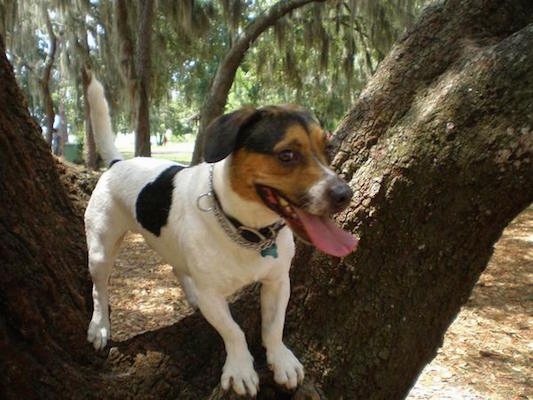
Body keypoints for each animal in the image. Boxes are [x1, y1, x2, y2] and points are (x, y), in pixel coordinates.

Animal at [84, 76, 358, 396]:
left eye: (328, 148)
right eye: (287, 155)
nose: (345, 194)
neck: (247, 230)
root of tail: (117, 164)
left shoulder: (278, 281)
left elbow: (273, 326)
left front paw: (281, 359)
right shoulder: (213, 296)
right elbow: (233, 331)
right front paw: (240, 369)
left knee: (178, 268)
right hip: (101, 250)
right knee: (99, 289)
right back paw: (100, 326)